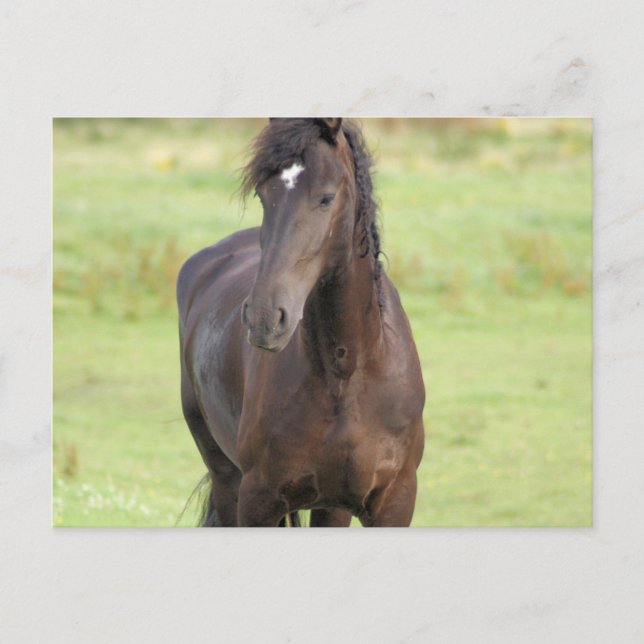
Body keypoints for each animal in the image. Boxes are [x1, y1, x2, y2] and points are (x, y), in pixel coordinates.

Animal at [177, 118, 425, 527]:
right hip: (226, 479)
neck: (346, 376)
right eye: (263, 195)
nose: (263, 318)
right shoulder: (258, 501)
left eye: (326, 197)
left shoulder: (393, 501)